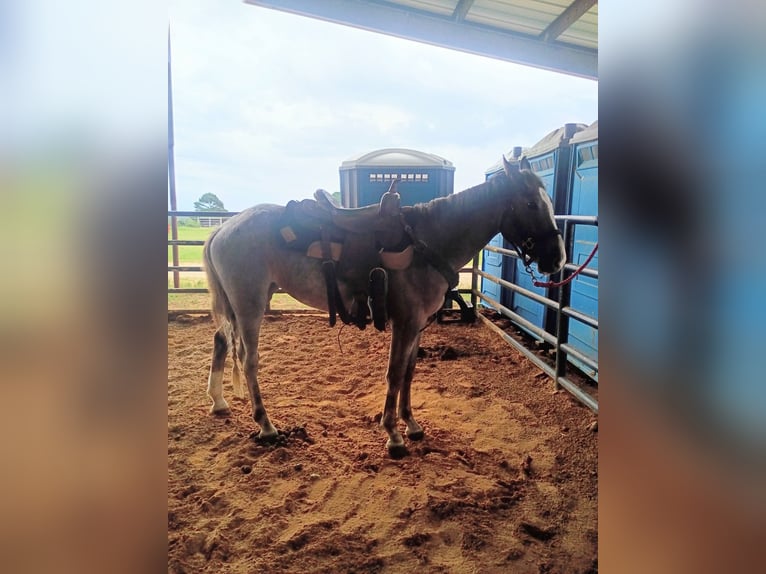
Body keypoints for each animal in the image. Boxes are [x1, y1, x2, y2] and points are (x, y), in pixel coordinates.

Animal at [202, 156, 566, 457]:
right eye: (531, 203)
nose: (557, 259)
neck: (428, 244)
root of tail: (222, 229)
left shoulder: (417, 325)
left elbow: (408, 372)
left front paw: (411, 424)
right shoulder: (404, 323)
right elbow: (394, 373)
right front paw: (393, 434)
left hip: (242, 305)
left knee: (222, 342)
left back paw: (219, 401)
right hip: (249, 306)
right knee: (249, 360)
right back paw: (265, 425)